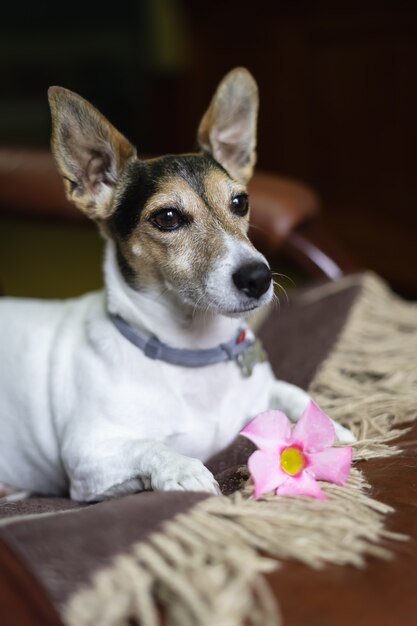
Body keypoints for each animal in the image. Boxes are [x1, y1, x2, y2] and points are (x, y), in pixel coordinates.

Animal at [0, 68, 354, 500]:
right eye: (167, 217)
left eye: (240, 202)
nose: (258, 277)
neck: (192, 353)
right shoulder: (87, 461)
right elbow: (150, 447)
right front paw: (184, 469)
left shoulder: (264, 393)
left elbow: (294, 394)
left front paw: (331, 428)